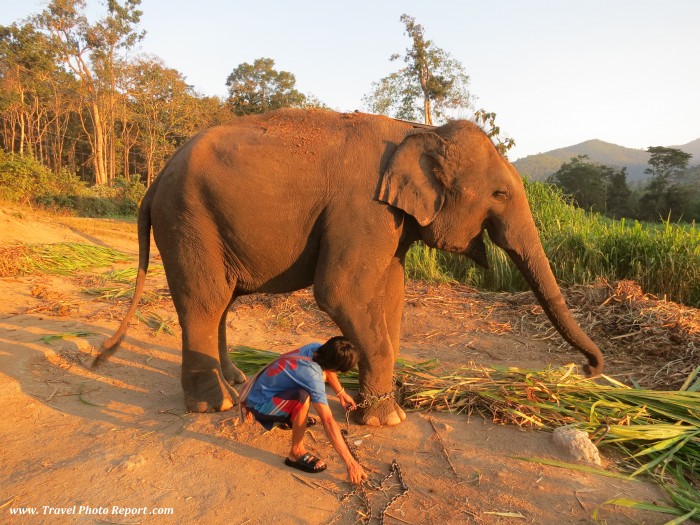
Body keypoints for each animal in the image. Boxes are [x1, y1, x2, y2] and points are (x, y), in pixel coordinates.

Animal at [93, 108, 603, 426]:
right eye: (500, 193)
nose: (589, 370)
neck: (418, 129)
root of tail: (155, 180)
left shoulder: (391, 219)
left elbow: (391, 292)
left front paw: (376, 406)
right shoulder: (363, 209)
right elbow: (340, 292)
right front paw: (386, 419)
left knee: (221, 301)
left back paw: (235, 380)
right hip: (188, 219)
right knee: (205, 300)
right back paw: (213, 404)